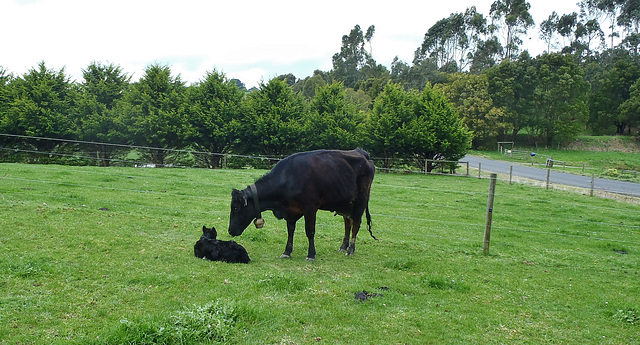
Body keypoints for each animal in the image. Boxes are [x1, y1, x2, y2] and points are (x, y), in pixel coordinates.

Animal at [228, 146, 376, 260]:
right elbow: (290, 230)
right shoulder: (291, 211)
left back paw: (350, 250)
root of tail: (361, 152)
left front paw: (311, 255)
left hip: (361, 200)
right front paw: (287, 252)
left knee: (356, 223)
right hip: (346, 203)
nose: (229, 230)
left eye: (235, 208)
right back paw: (343, 247)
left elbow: (310, 231)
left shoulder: (310, 208)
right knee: (347, 223)